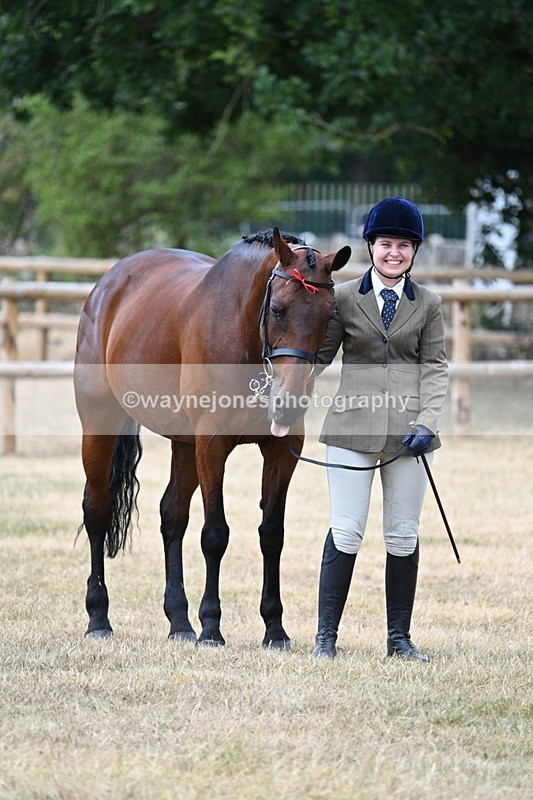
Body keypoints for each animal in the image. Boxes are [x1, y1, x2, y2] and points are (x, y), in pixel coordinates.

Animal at [74, 227, 351, 648]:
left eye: (329, 314)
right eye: (278, 309)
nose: (289, 401)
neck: (243, 331)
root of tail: (108, 283)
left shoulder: (281, 449)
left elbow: (271, 533)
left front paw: (274, 628)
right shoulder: (212, 443)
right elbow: (215, 534)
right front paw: (212, 627)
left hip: (183, 443)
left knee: (172, 515)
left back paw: (179, 623)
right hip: (99, 423)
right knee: (97, 511)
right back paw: (99, 618)